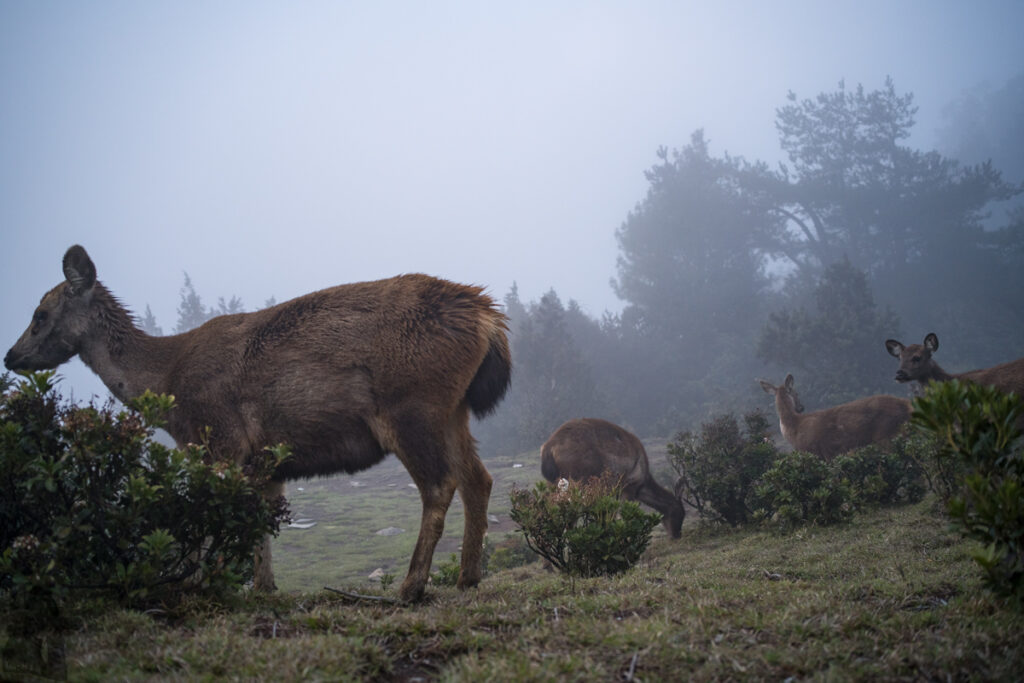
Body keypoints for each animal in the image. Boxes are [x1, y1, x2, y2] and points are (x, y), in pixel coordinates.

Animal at [4, 245, 512, 603]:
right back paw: (467, 577)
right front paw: (262, 587)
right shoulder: (265, 461)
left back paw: (411, 586)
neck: (166, 386)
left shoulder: (219, 438)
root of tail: (488, 316)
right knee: (478, 478)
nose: (11, 356)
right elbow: (258, 523)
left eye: (40, 314)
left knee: (440, 485)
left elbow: (208, 520)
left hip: (411, 405)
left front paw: (197, 584)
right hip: (452, 411)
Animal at [540, 418, 685, 538]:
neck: (643, 483)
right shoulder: (629, 484)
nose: (676, 536)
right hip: (577, 480)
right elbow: (626, 516)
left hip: (554, 482)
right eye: (680, 512)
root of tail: (548, 449)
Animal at [758, 374, 912, 461]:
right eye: (797, 393)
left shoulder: (815, 451)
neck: (794, 427)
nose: (801, 407)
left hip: (887, 433)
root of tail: (907, 404)